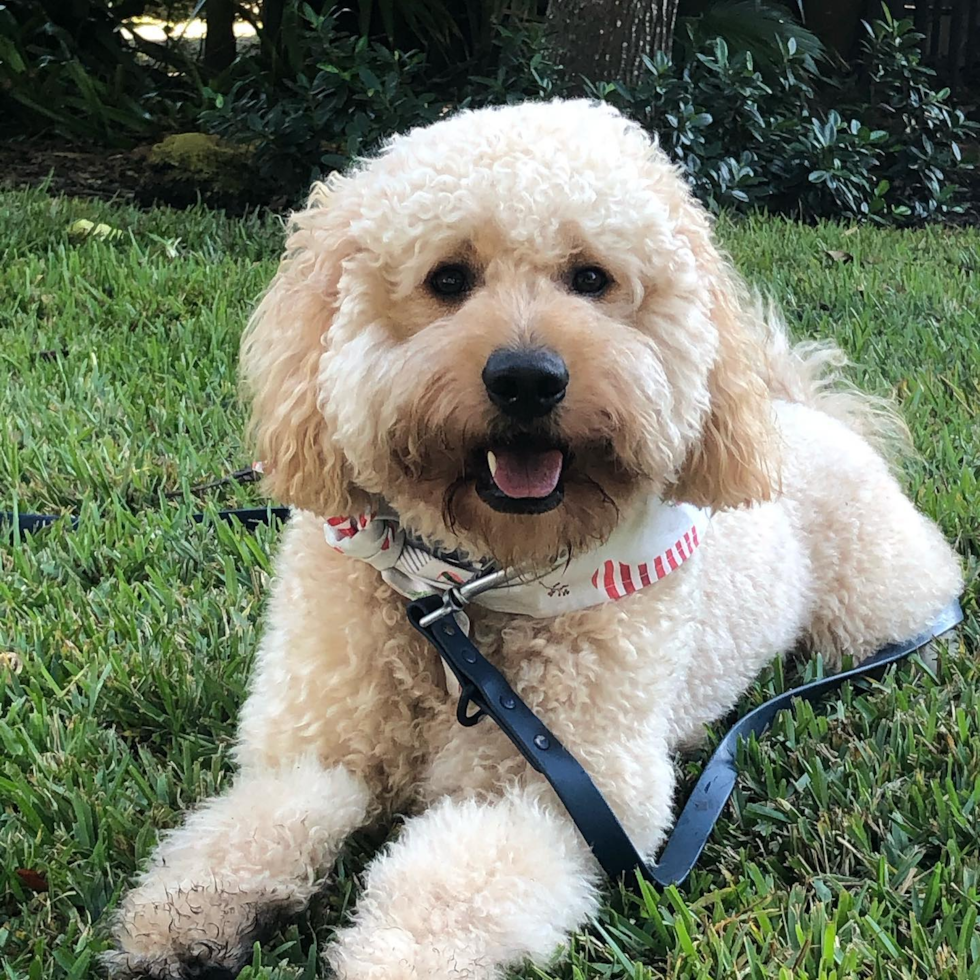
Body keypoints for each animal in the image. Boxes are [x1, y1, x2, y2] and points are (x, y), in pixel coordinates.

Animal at [103, 99, 960, 980]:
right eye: (448, 278)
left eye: (591, 278)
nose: (526, 379)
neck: (468, 583)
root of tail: (805, 411)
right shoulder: (317, 745)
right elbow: (257, 820)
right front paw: (188, 915)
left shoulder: (563, 793)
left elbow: (449, 883)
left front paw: (393, 959)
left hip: (874, 606)